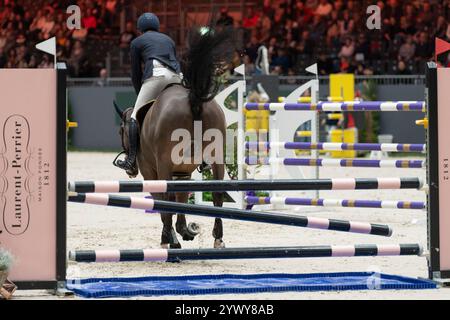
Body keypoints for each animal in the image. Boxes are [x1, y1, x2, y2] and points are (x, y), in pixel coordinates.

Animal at [112, 27, 234, 249]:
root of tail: (192, 99)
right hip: (217, 156)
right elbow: (181, 198)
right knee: (218, 192)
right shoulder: (183, 172)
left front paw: (170, 236)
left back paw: (168, 240)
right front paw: (183, 230)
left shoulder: (151, 171)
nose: (130, 170)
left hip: (164, 163)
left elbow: (163, 200)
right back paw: (218, 238)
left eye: (120, 132)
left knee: (167, 196)